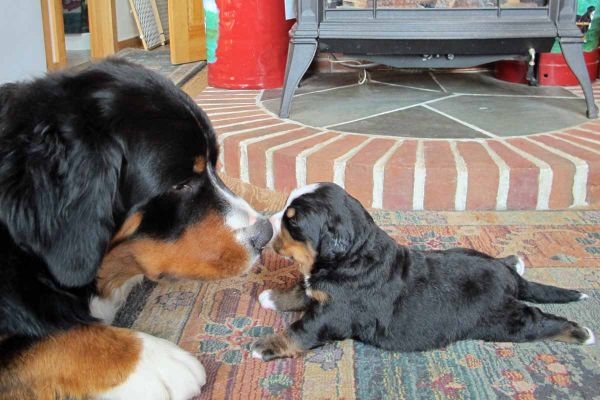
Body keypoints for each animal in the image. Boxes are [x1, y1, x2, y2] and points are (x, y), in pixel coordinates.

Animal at [251, 183, 592, 360]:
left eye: (293, 222)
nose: (267, 224)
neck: (351, 257)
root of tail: (508, 278)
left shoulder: (335, 312)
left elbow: (301, 329)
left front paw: (266, 345)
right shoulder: (322, 292)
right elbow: (303, 289)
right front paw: (271, 296)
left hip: (503, 322)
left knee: (536, 320)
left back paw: (580, 332)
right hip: (465, 251)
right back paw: (513, 260)